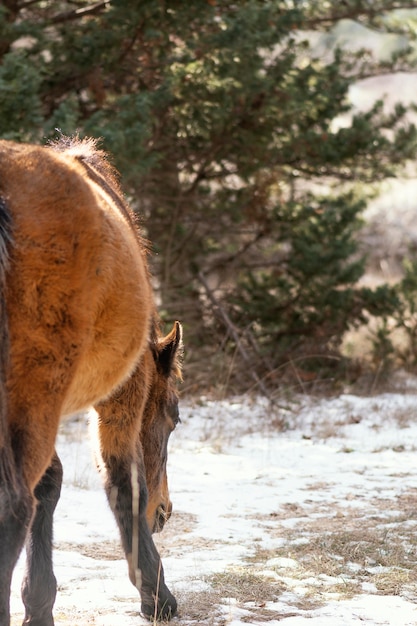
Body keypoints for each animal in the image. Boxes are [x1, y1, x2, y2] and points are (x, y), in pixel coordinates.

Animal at [0, 138, 180, 624]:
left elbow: (50, 481)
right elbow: (123, 483)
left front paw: (37, 601)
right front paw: (157, 595)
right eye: (174, 418)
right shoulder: (123, 392)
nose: (164, 513)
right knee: (14, 508)